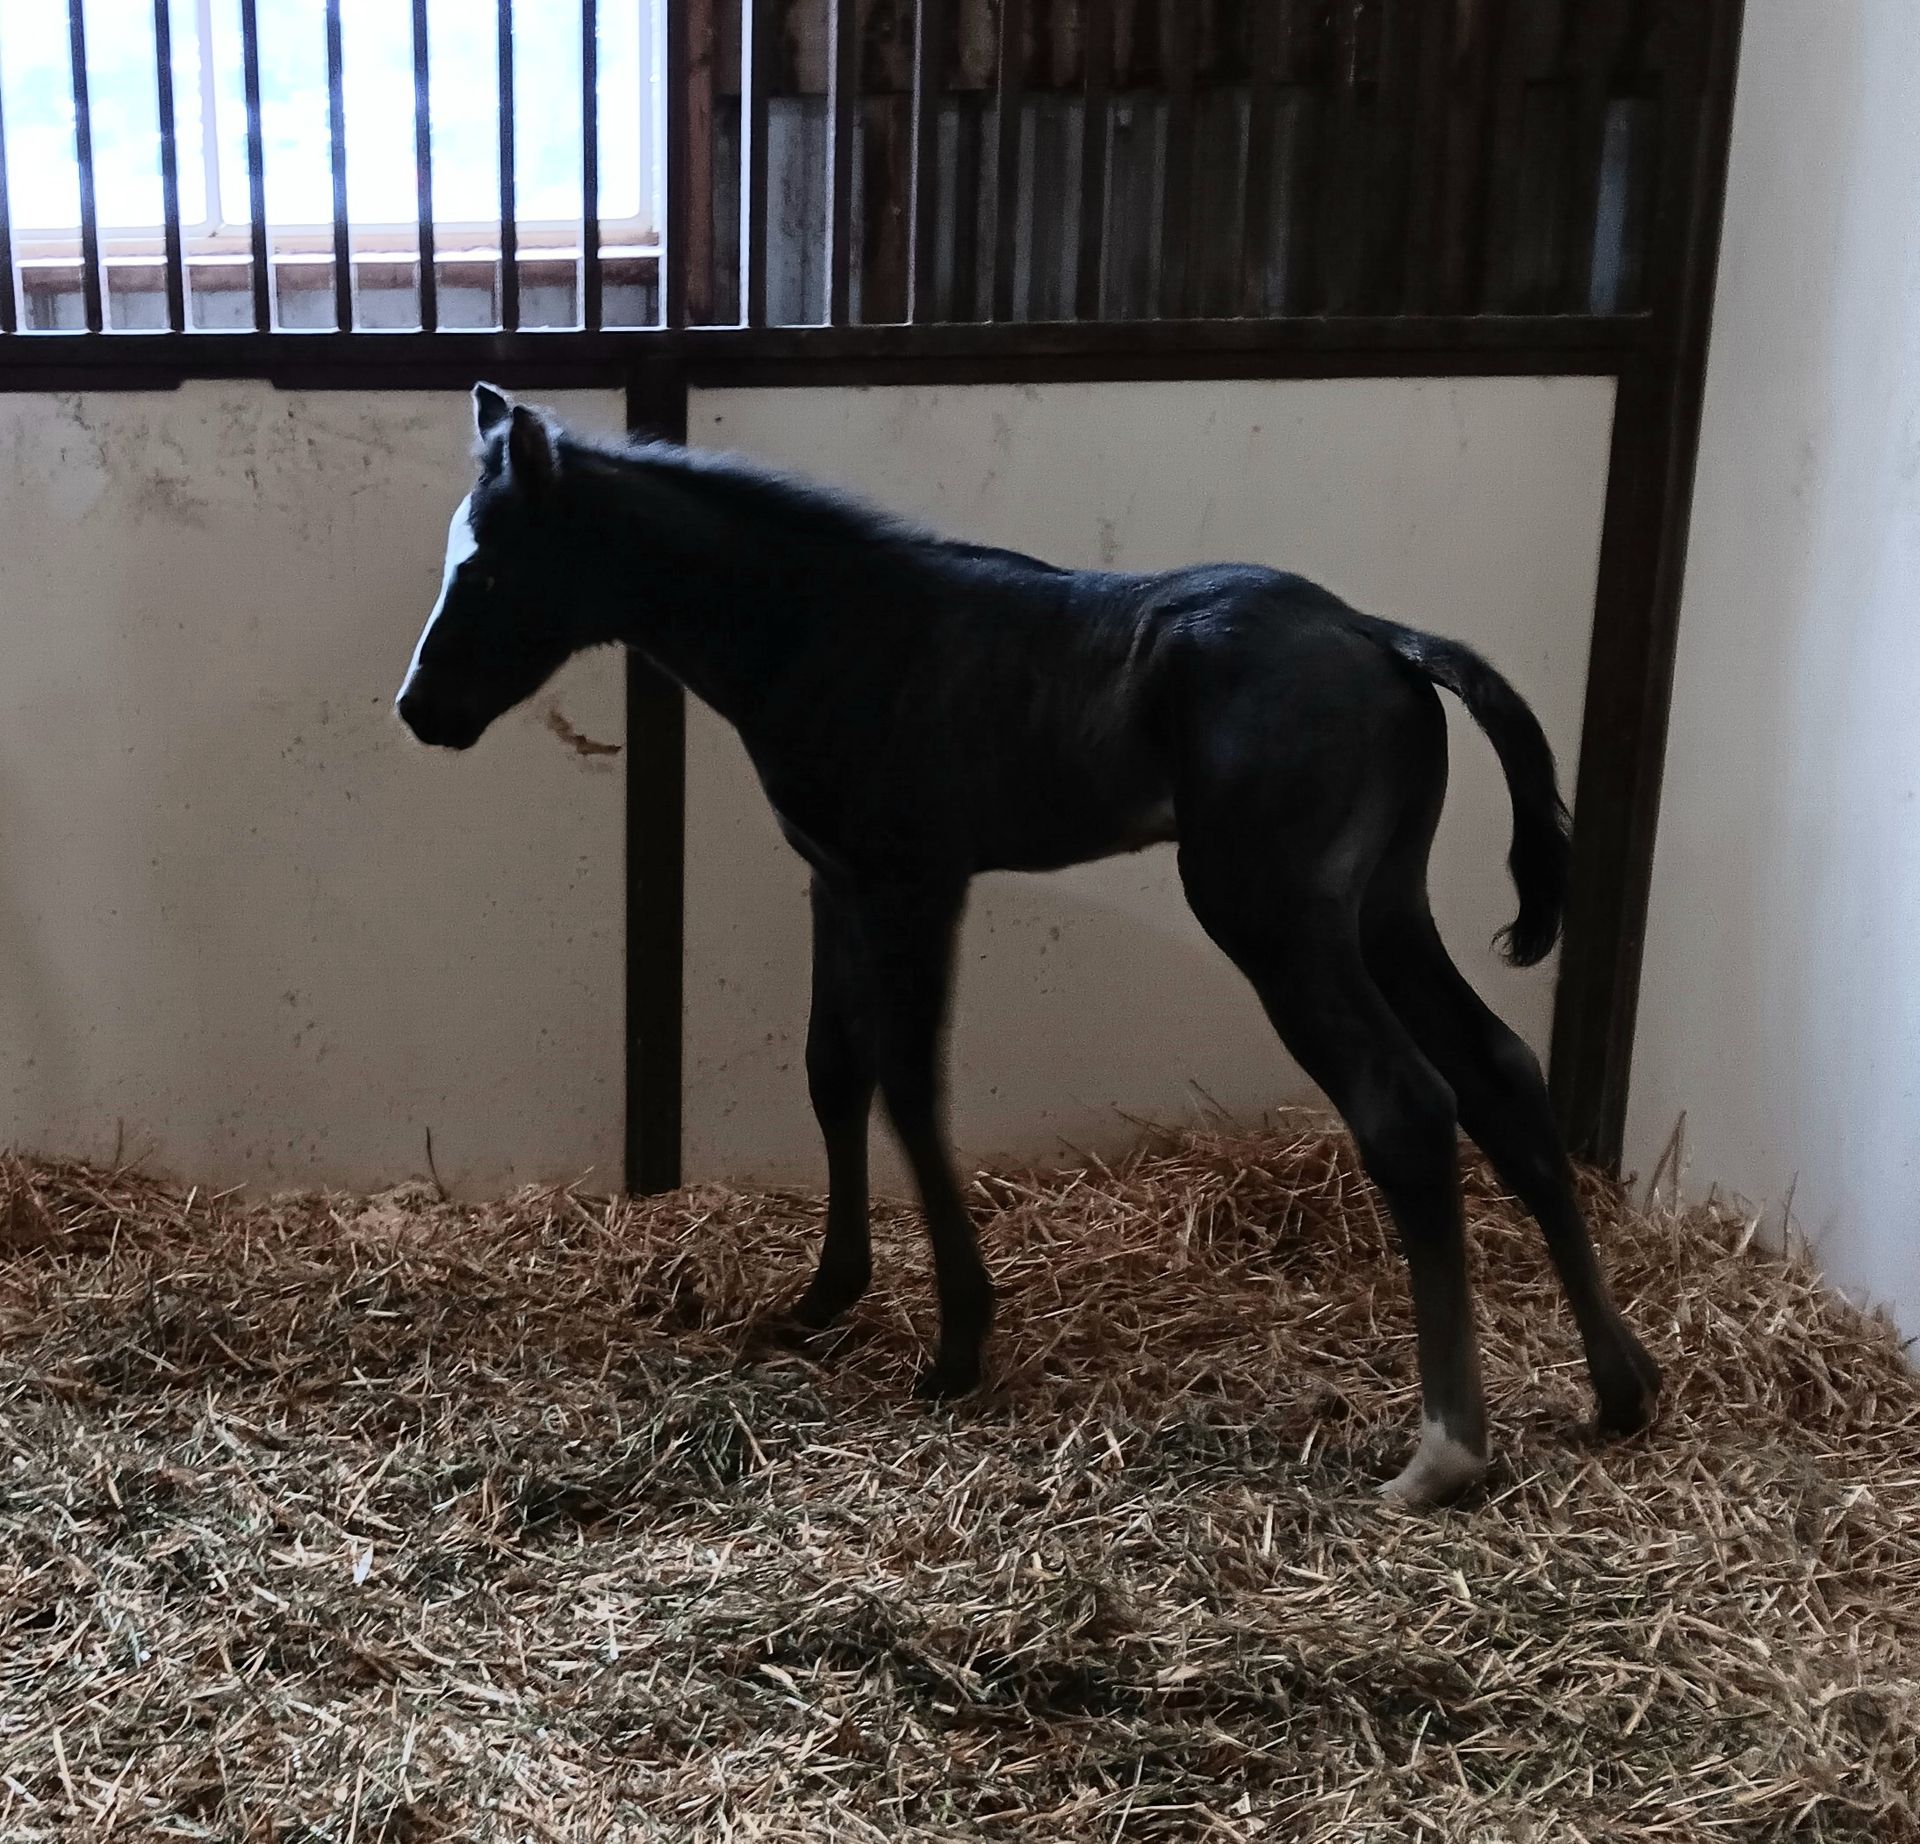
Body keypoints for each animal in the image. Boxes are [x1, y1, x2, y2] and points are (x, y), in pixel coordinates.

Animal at [395, 382, 1662, 1506]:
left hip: (1277, 918)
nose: (419, 708)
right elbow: (833, 1070)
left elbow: (910, 1087)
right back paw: (1620, 1383)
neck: (831, 628)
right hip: (1386, 908)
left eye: (488, 568)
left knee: (1404, 1104)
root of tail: (1384, 636)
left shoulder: (914, 883)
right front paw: (826, 1294)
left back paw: (1445, 1450)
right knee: (1500, 1072)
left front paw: (957, 1340)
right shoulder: (837, 881)